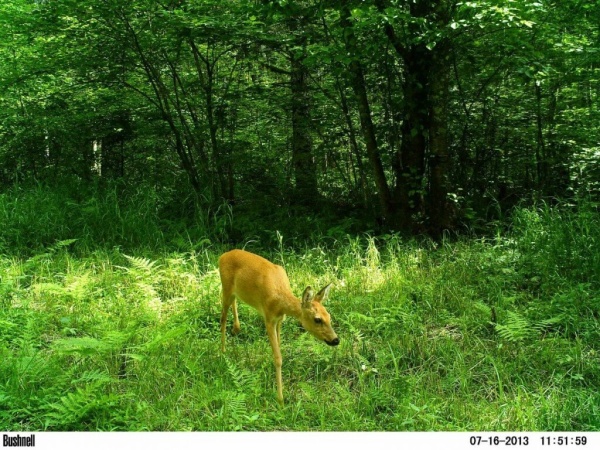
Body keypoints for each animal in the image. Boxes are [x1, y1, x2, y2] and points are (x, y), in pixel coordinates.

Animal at [218, 250, 340, 404]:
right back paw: (222, 352)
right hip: (226, 287)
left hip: (236, 291)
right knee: (222, 318)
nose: (336, 340)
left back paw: (236, 329)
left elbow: (280, 346)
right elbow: (278, 358)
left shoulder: (280, 320)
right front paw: (280, 399)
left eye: (329, 316)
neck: (280, 300)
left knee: (234, 303)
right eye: (317, 319)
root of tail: (222, 256)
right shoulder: (269, 319)